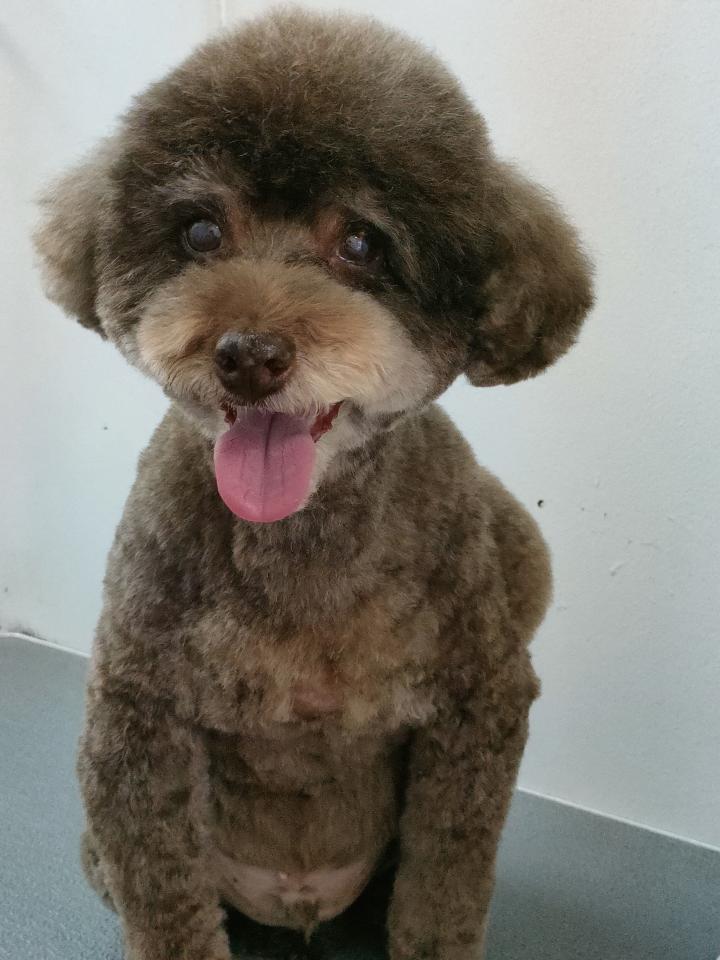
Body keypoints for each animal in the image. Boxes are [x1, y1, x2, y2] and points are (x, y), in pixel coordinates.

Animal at [35, 9, 592, 959]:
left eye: (362, 243)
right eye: (200, 233)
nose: (248, 354)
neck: (301, 542)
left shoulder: (479, 705)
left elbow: (444, 888)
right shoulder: (136, 721)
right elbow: (165, 902)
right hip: (98, 852)